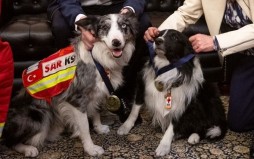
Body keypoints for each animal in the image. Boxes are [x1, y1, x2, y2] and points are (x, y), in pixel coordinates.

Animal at [0, 13, 139, 157]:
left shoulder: (95, 93)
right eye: (105, 27)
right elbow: (84, 128)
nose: (116, 42)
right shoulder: (76, 100)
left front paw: (99, 128)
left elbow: (95, 112)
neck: (98, 57)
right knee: (8, 141)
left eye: (124, 26)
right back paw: (28, 149)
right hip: (40, 115)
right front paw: (91, 149)